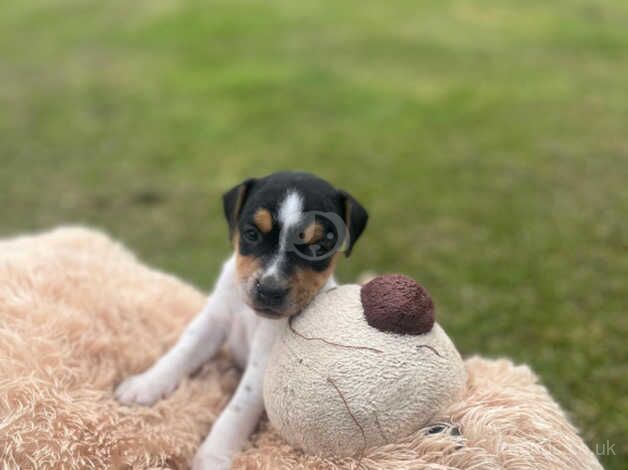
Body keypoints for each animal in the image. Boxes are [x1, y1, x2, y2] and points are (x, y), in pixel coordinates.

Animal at [115, 171, 368, 468]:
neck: (251, 315)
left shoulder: (265, 358)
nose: (269, 289)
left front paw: (211, 456)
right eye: (251, 234)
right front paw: (145, 385)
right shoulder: (214, 319)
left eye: (318, 248)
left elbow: (237, 409)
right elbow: (182, 352)